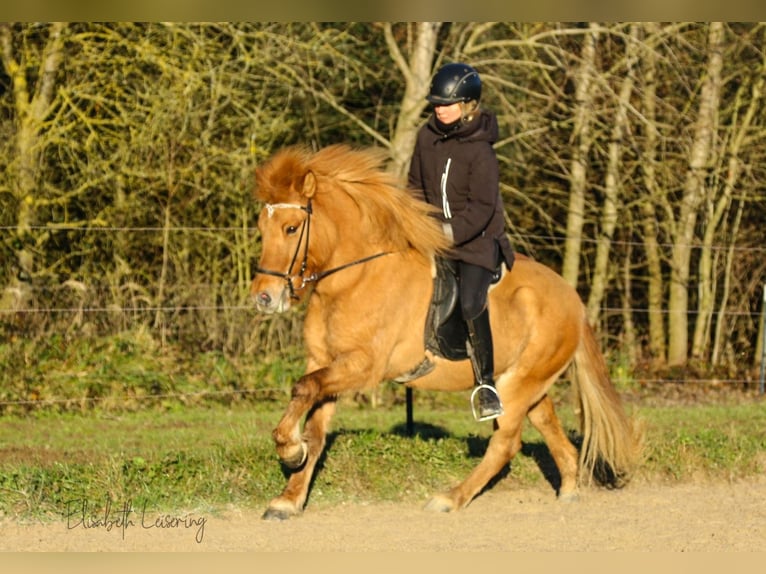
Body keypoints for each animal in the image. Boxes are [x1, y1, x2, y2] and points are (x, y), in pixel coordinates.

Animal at [250, 143, 640, 520]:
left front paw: (289, 449)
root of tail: (572, 298)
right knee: (548, 428)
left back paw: (450, 498)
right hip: (528, 381)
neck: (354, 279)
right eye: (261, 229)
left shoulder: (362, 366)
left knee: (505, 443)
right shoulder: (325, 362)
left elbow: (303, 389)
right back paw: (569, 490)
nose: (263, 297)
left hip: (519, 385)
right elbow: (314, 424)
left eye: (291, 228)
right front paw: (288, 497)